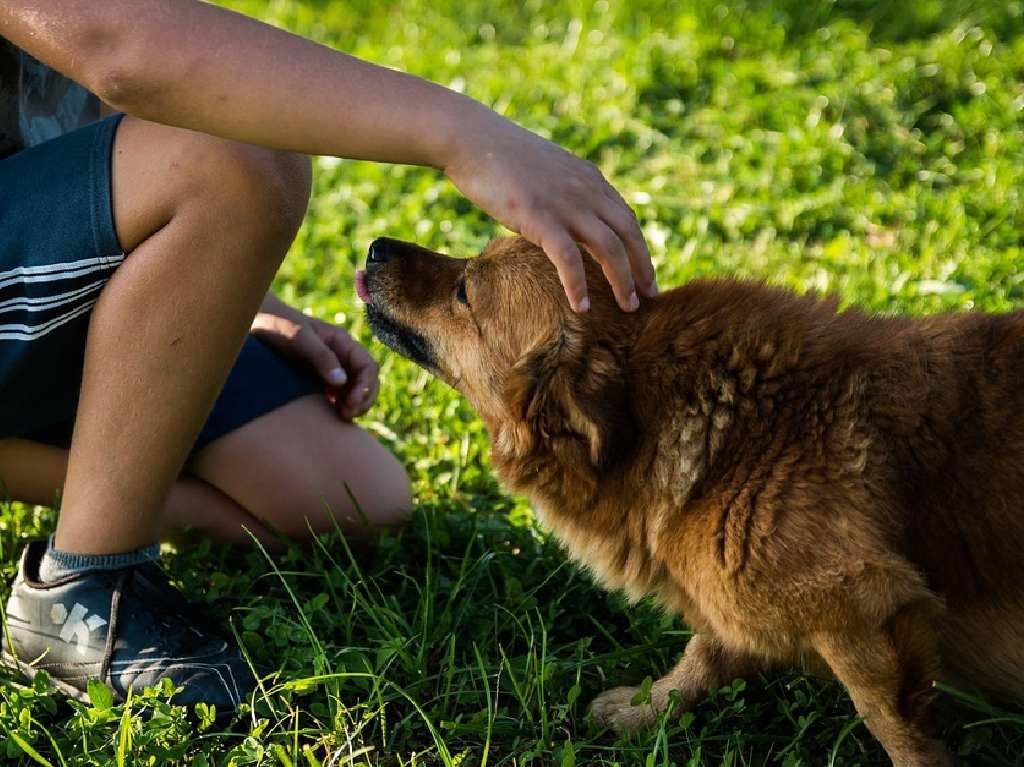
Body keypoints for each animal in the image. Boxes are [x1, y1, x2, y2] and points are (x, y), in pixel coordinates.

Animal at [356, 236, 1024, 761]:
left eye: (465, 289)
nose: (377, 246)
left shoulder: (864, 606)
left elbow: (895, 729)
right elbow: (702, 658)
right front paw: (644, 711)